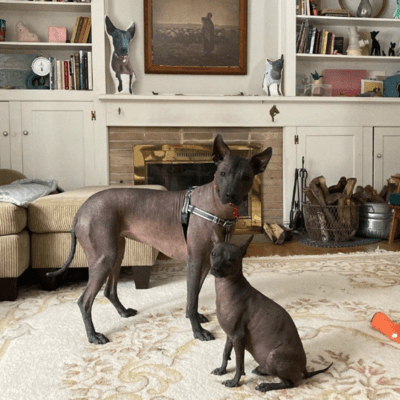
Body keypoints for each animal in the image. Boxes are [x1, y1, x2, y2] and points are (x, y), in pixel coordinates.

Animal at [46, 134, 272, 344]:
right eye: (223, 173)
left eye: (246, 177)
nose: (230, 195)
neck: (218, 209)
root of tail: (81, 210)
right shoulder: (195, 261)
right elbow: (192, 299)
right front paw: (197, 331)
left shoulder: (207, 263)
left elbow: (195, 295)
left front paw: (196, 317)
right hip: (104, 257)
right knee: (84, 300)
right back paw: (93, 335)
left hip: (117, 253)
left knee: (109, 291)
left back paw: (123, 312)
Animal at [209, 236, 332, 392]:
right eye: (213, 254)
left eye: (232, 259)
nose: (215, 269)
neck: (225, 288)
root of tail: (304, 367)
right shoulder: (230, 335)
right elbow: (225, 353)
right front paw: (221, 370)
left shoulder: (238, 337)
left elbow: (239, 363)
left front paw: (234, 382)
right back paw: (261, 370)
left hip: (273, 355)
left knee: (290, 383)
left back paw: (266, 385)